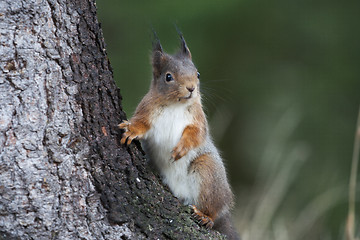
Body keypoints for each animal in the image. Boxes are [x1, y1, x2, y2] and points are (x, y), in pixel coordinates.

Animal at [119, 31, 240, 240]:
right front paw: (131, 130)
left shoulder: (198, 119)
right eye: (168, 77)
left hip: (207, 171)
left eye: (198, 74)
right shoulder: (146, 111)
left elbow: (196, 135)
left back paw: (206, 216)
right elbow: (141, 124)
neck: (175, 104)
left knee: (214, 209)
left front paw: (181, 148)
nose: (191, 88)